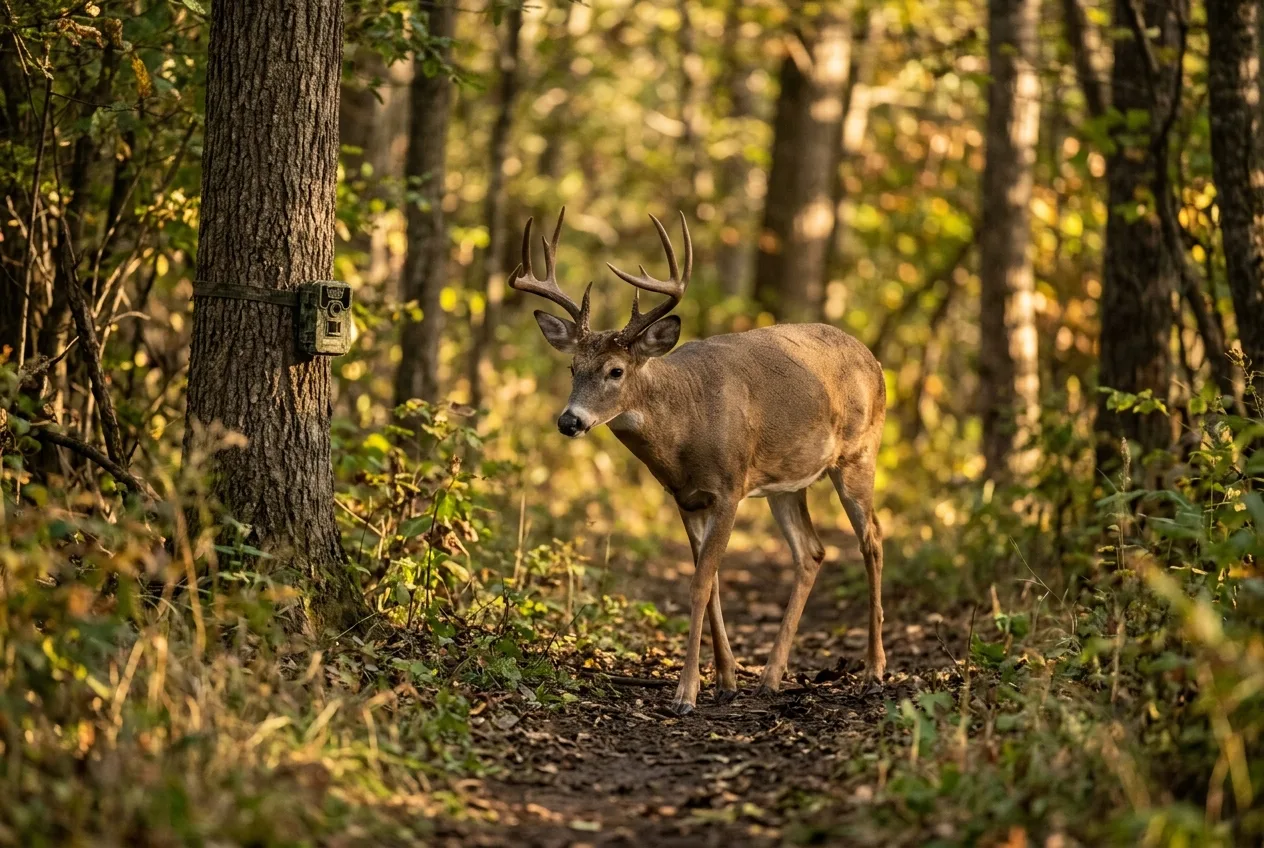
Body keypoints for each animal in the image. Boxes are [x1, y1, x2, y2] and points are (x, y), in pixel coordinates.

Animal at [511, 208, 887, 715]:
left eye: (616, 370)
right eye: (573, 368)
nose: (569, 421)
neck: (685, 427)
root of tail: (874, 361)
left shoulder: (729, 487)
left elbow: (699, 583)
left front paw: (685, 694)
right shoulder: (686, 498)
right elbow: (710, 585)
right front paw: (725, 680)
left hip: (858, 454)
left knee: (872, 541)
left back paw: (873, 672)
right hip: (788, 482)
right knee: (811, 552)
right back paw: (770, 678)